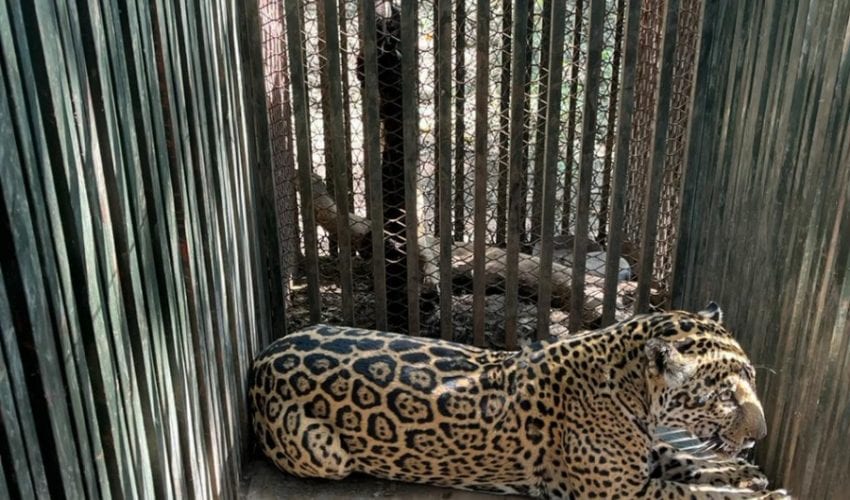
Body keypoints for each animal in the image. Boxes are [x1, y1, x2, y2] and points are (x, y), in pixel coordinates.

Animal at [249, 303, 789, 498]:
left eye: (750, 378)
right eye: (725, 395)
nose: (762, 434)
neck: (632, 392)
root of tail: (263, 354)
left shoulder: (642, 457)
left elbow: (683, 460)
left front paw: (741, 473)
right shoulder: (621, 492)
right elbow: (692, 493)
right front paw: (756, 492)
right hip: (325, 455)